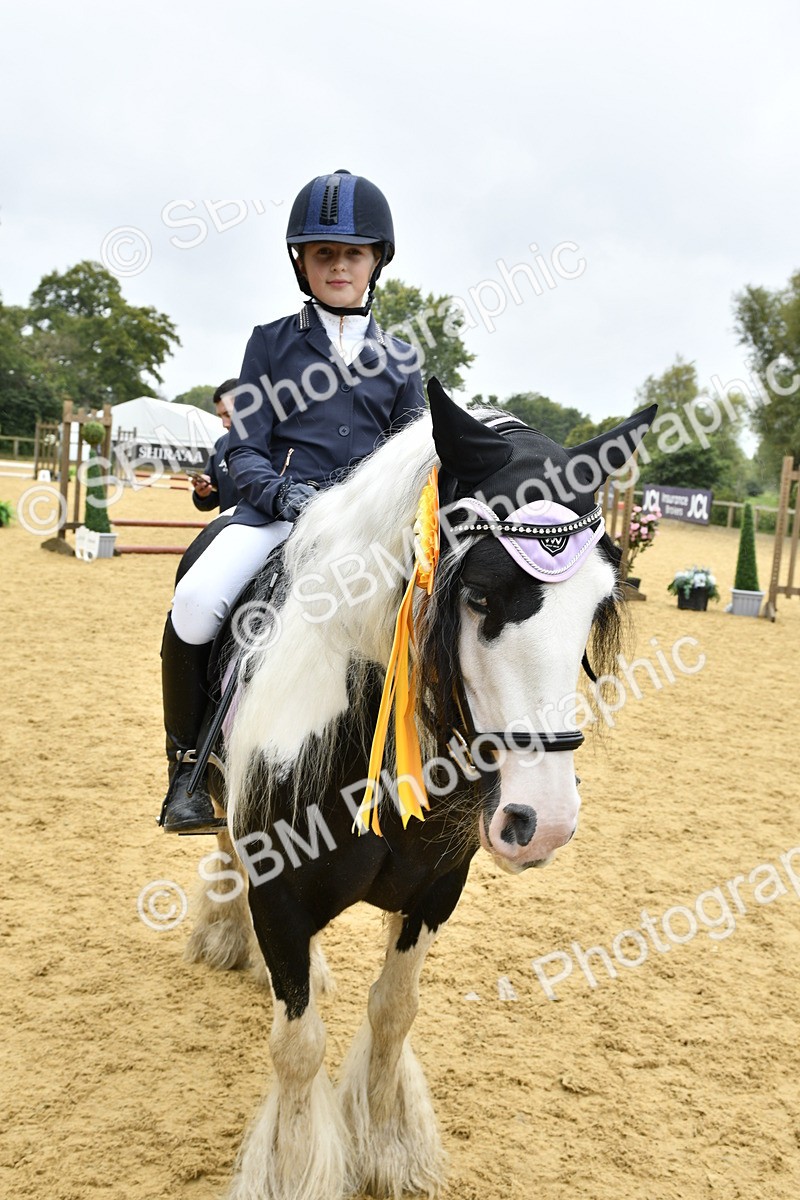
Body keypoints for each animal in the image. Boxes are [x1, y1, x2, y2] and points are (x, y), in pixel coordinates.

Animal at [183, 378, 656, 1200]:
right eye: (481, 595)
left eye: (598, 601)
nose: (546, 821)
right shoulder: (279, 894)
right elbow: (296, 1046)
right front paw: (294, 1168)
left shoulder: (437, 889)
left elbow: (394, 1011)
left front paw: (387, 1144)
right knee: (219, 837)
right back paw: (226, 935)